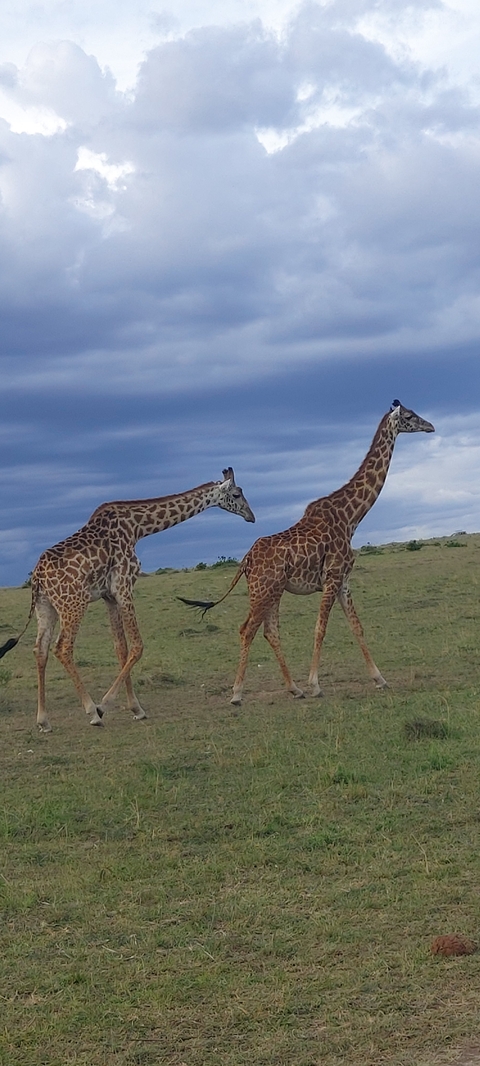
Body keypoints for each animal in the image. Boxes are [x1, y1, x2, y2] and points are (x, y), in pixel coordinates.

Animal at [0, 468, 255, 731]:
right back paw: (91, 711)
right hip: (73, 604)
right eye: (237, 494)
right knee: (63, 648)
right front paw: (105, 706)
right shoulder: (124, 586)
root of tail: (37, 576)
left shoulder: (109, 596)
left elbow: (121, 648)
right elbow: (137, 646)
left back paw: (43, 720)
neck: (137, 528)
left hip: (45, 606)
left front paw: (136, 708)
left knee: (40, 649)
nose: (251, 516)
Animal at [180, 402, 434, 704]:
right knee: (247, 629)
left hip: (272, 590)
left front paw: (379, 679)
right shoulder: (333, 577)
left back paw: (293, 688)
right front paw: (315, 684)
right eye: (409, 416)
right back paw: (238, 693)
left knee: (270, 631)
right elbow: (320, 628)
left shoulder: (343, 581)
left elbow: (357, 626)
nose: (430, 426)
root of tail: (246, 561)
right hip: (263, 590)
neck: (351, 517)